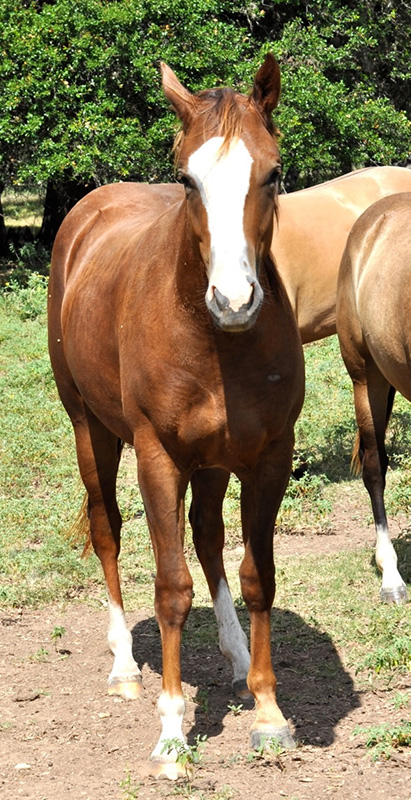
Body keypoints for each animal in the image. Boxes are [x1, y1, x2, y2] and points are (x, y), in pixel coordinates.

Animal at [48, 54, 306, 776]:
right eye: (187, 179)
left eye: (272, 172)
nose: (234, 300)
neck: (214, 340)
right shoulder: (159, 457)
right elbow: (169, 588)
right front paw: (170, 734)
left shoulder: (266, 458)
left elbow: (255, 576)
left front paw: (268, 711)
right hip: (92, 432)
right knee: (107, 530)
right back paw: (124, 668)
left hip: (213, 462)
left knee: (210, 539)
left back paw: (236, 656)